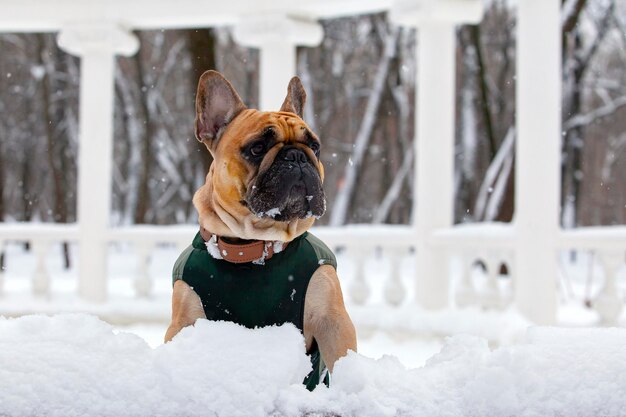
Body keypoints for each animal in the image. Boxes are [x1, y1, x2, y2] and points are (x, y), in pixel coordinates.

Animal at [163, 70, 354, 388]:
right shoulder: (183, 322)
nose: (296, 156)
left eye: (314, 146)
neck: (252, 246)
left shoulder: (333, 323)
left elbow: (343, 359)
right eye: (257, 148)